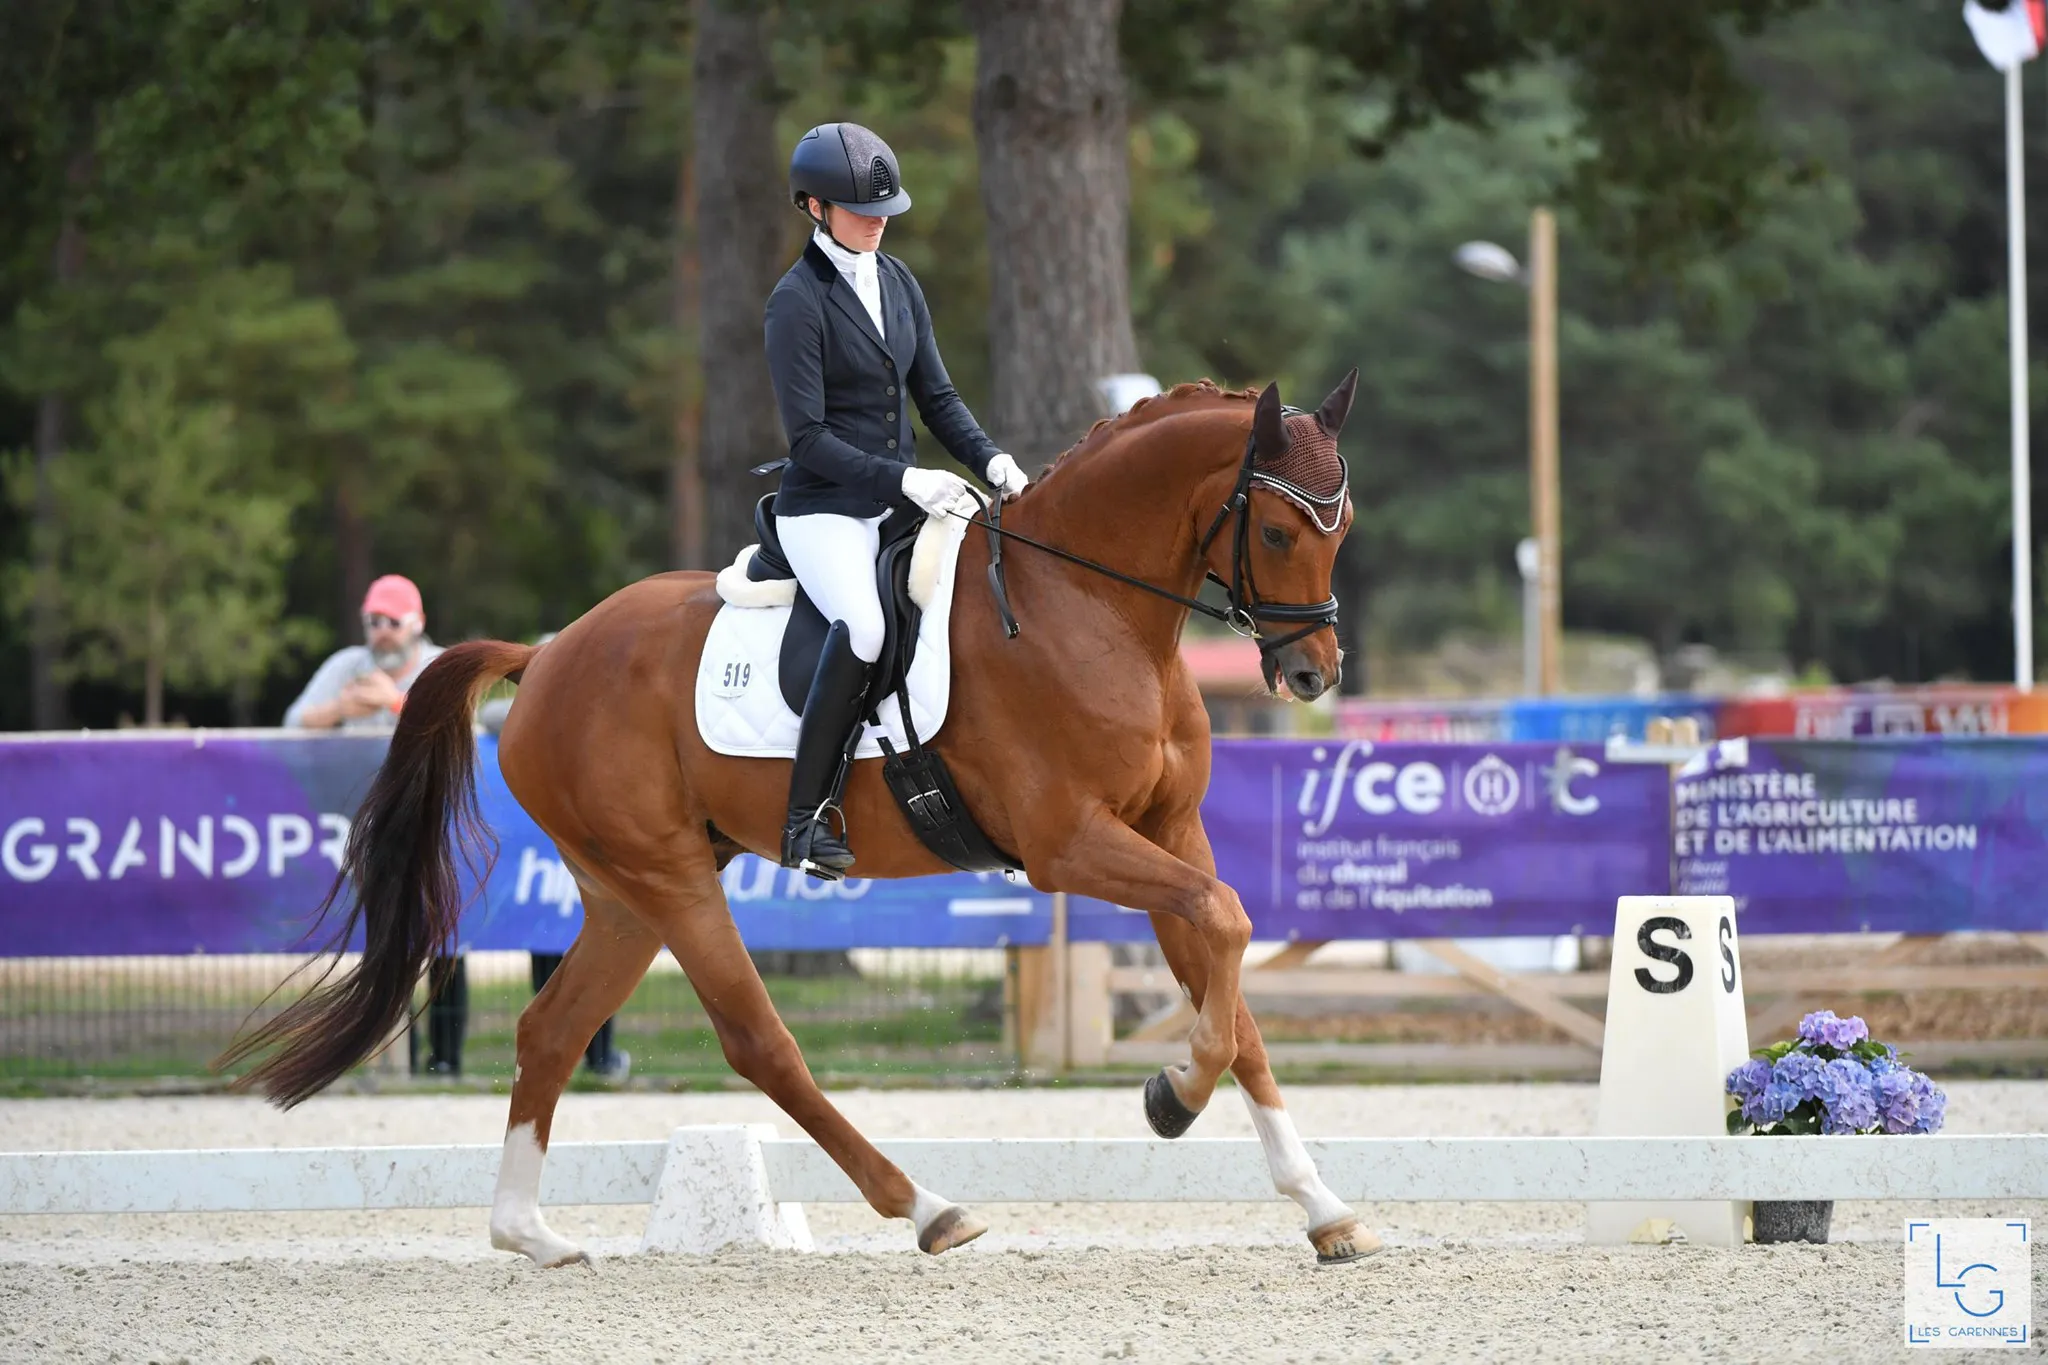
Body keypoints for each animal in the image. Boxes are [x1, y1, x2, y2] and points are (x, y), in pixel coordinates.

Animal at [218, 372, 1379, 1267]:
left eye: (1345, 529)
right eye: (1280, 528)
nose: (1312, 674)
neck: (1085, 609)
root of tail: (543, 657)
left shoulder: (1170, 831)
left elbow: (1234, 984)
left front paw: (1322, 1208)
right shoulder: (1068, 846)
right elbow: (1227, 925)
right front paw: (1170, 1094)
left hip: (624, 892)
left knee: (550, 1030)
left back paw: (530, 1235)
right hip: (671, 879)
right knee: (756, 1041)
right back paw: (926, 1209)